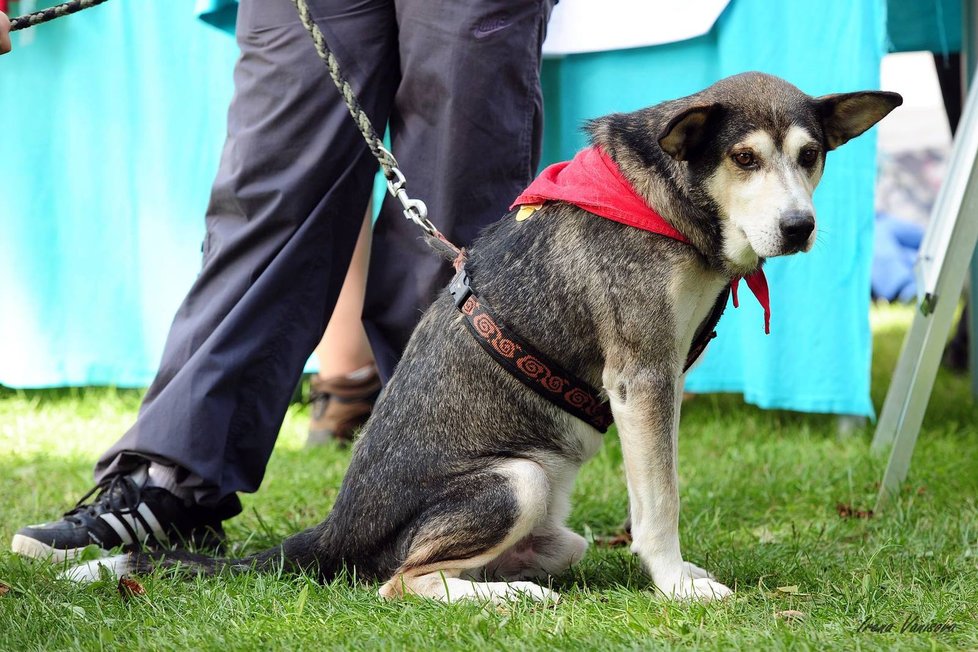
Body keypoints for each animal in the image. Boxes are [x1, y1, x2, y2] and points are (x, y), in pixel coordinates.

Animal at [68, 74, 900, 604]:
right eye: (744, 157)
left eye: (811, 156)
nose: (799, 227)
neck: (665, 198)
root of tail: (332, 532)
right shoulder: (641, 375)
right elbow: (660, 502)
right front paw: (678, 585)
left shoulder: (661, 377)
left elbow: (651, 493)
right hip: (517, 480)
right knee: (397, 585)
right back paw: (513, 600)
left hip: (549, 525)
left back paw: (516, 587)